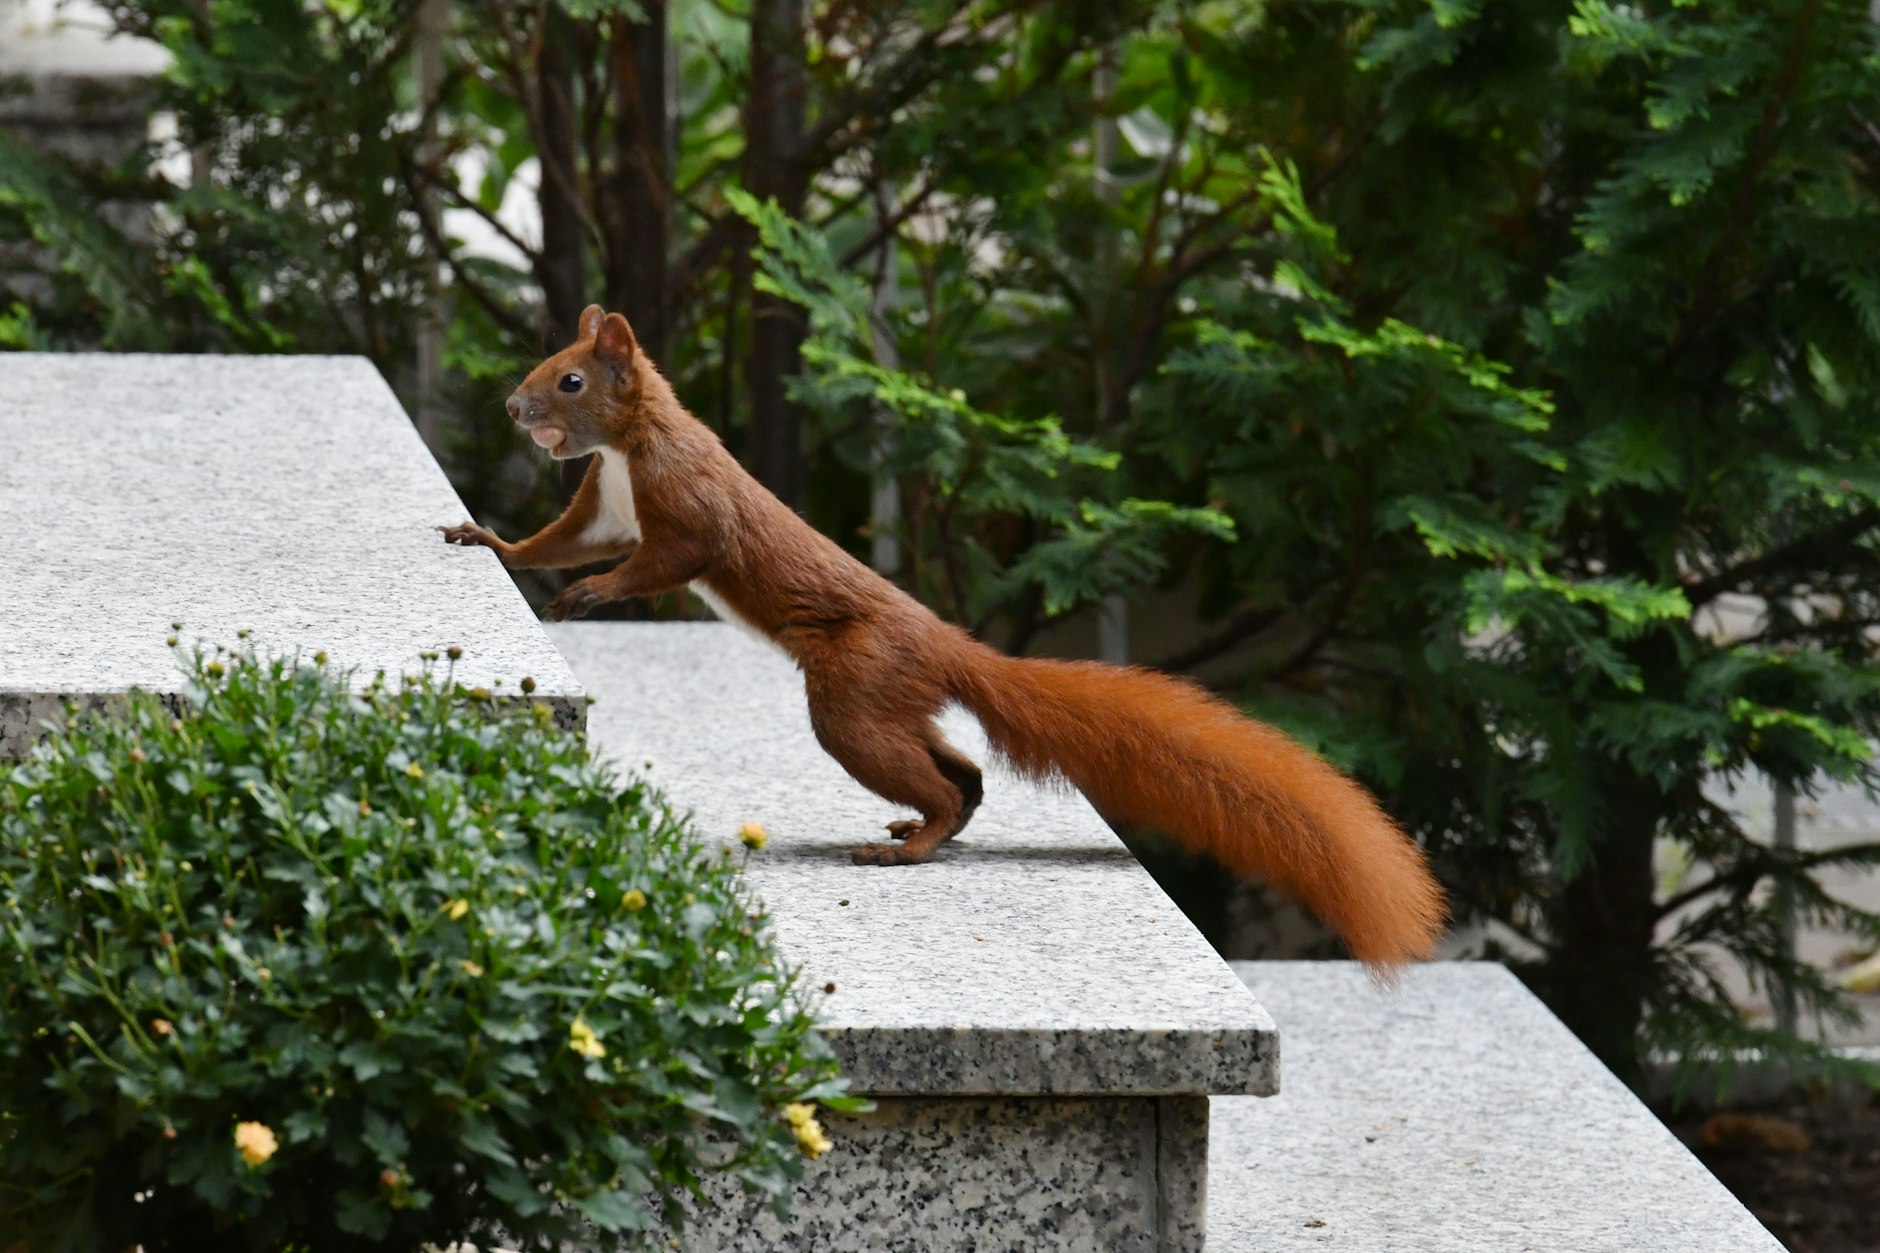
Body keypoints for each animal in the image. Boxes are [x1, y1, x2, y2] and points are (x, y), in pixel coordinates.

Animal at [441, 305, 1447, 968]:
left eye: (570, 378)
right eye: (547, 361)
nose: (512, 409)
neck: (627, 448)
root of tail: (947, 644)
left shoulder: (687, 511)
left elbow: (661, 559)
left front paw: (588, 593)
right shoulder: (605, 506)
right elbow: (554, 541)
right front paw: (489, 541)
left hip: (852, 696)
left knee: (933, 772)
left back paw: (907, 847)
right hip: (886, 704)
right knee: (962, 774)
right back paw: (929, 827)